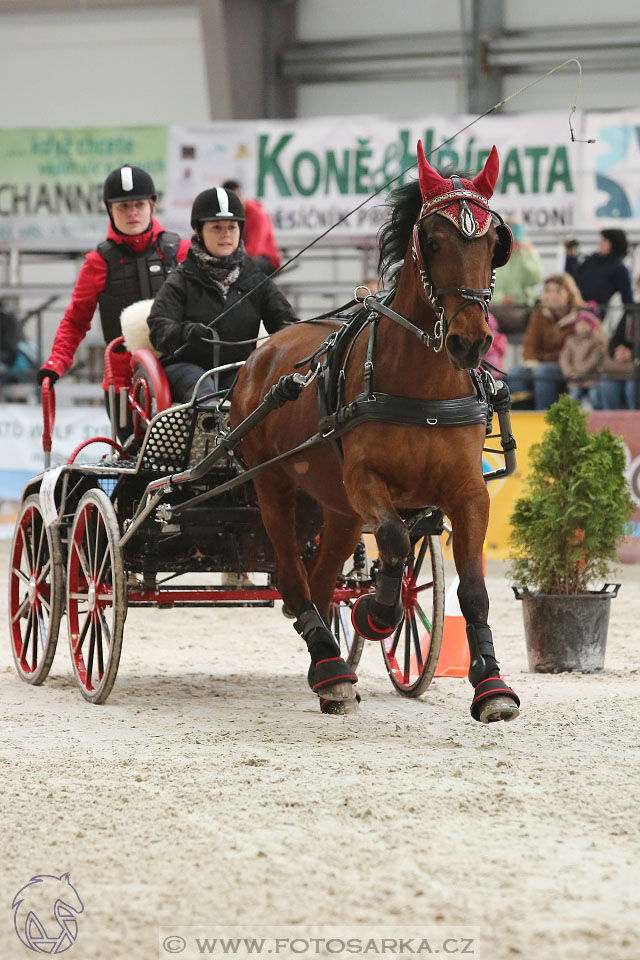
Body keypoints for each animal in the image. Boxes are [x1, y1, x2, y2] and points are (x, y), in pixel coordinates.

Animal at [230, 142, 520, 724]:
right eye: (433, 241)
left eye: (493, 244)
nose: (471, 342)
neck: (422, 391)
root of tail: (260, 356)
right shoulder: (364, 481)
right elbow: (392, 540)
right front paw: (374, 614)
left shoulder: (467, 491)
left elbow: (473, 589)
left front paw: (491, 683)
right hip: (274, 486)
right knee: (294, 580)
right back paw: (332, 670)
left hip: (336, 510)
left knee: (321, 582)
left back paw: (330, 669)